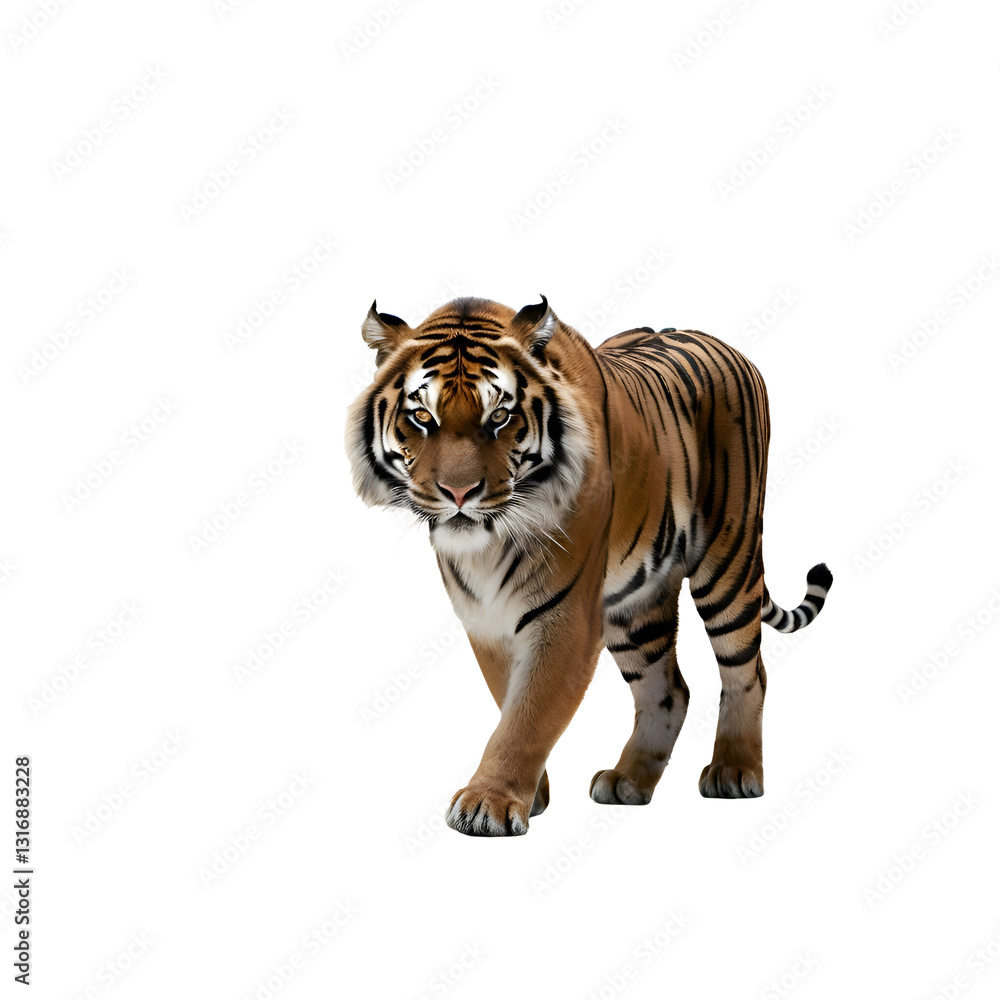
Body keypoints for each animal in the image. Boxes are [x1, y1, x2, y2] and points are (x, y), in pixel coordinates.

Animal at [346, 295, 832, 836]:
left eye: (500, 416)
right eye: (422, 417)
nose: (458, 492)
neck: (487, 547)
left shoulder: (567, 617)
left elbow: (531, 713)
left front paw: (488, 802)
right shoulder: (487, 621)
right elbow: (509, 701)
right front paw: (529, 794)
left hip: (728, 563)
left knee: (748, 671)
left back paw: (734, 770)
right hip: (636, 608)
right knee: (669, 690)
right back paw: (629, 781)